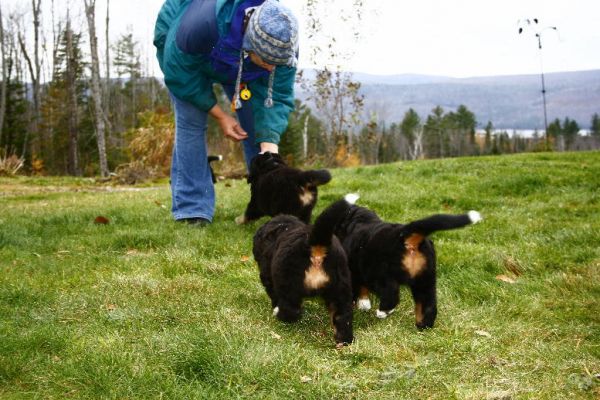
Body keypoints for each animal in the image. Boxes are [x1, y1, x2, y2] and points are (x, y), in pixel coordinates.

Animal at [251, 194, 358, 346]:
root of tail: (315, 245)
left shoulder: (268, 276)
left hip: (290, 282)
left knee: (291, 309)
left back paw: (280, 315)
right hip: (340, 285)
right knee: (343, 315)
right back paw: (343, 341)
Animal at [332, 205, 482, 330]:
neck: (358, 221)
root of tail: (406, 236)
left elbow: (360, 287)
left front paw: (363, 304)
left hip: (380, 273)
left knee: (391, 294)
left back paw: (383, 311)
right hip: (426, 278)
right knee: (428, 304)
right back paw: (424, 326)